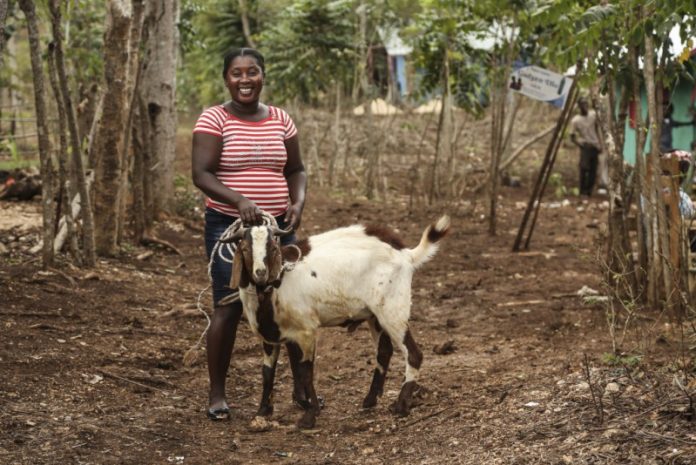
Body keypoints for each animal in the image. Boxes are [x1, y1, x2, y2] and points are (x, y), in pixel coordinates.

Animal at [224, 214, 452, 428]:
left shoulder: (307, 331)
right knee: (384, 352)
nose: (260, 273)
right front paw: (263, 411)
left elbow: (306, 371)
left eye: (272, 247)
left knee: (413, 354)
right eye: (244, 248)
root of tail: (406, 254)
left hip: (393, 310)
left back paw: (402, 406)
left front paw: (310, 415)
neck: (273, 288)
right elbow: (267, 372)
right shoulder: (270, 336)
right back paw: (370, 400)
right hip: (375, 316)